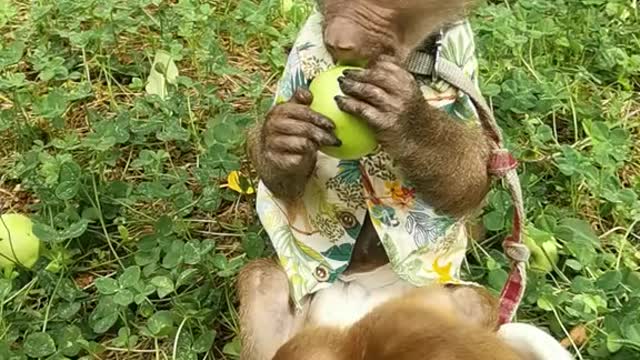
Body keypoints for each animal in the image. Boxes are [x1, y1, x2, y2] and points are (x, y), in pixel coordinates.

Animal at [238, 0, 492, 360]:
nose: (339, 40)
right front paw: (282, 137)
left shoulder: (457, 70)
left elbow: (474, 182)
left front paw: (406, 117)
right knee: (263, 280)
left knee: (473, 302)